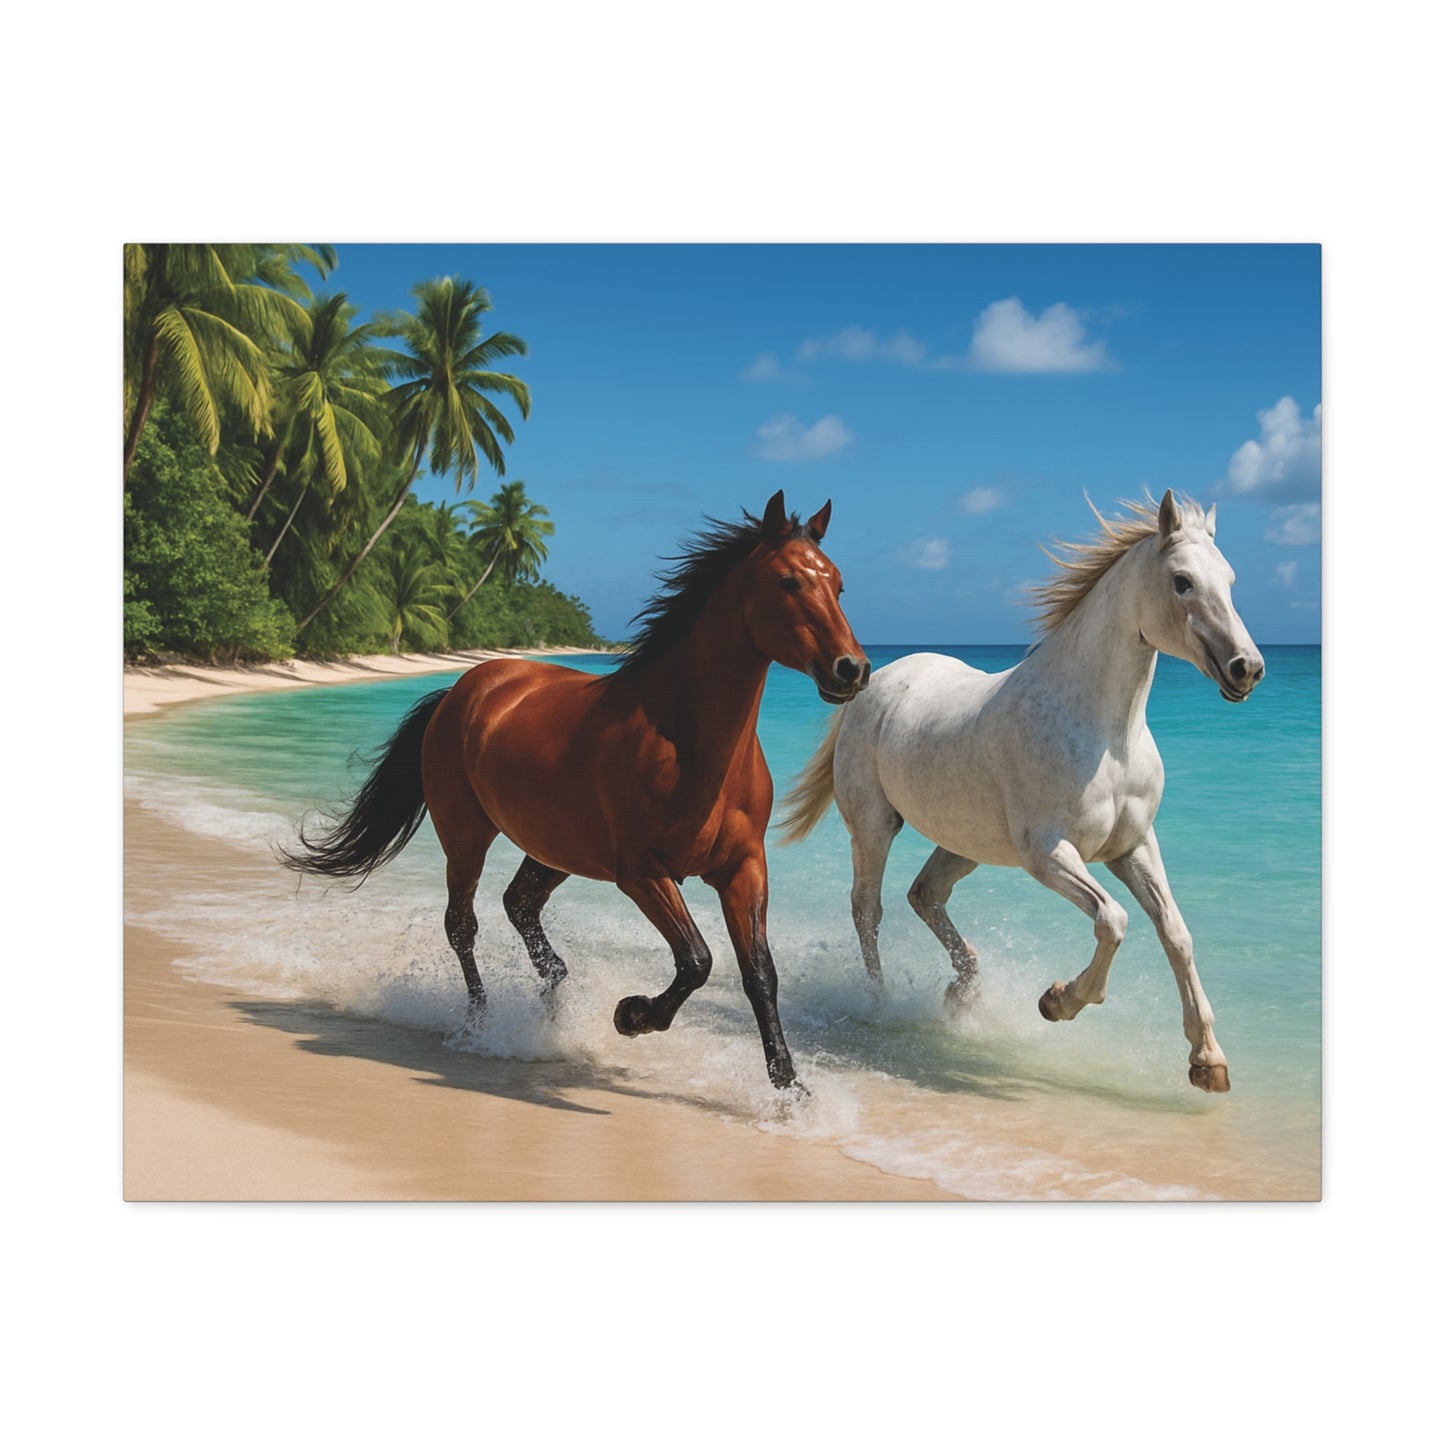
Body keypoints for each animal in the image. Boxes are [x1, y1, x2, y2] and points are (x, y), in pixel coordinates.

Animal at [282, 490, 869, 1091]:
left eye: (839, 584)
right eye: (789, 581)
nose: (852, 669)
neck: (683, 743)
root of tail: (464, 687)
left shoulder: (743, 868)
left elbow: (760, 973)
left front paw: (790, 1088)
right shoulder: (641, 872)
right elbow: (697, 960)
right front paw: (632, 1015)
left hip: (556, 850)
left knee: (519, 905)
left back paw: (553, 999)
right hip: (466, 835)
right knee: (462, 925)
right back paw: (479, 1025)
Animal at [779, 490, 1264, 1093]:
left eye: (1231, 579)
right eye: (1182, 581)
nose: (1247, 669)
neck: (1105, 735)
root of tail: (874, 679)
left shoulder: (1133, 847)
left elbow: (1175, 932)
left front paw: (1208, 1060)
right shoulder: (1048, 854)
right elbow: (1114, 920)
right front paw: (1058, 1001)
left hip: (966, 844)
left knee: (925, 895)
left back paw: (962, 991)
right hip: (874, 827)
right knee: (868, 909)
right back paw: (880, 1004)